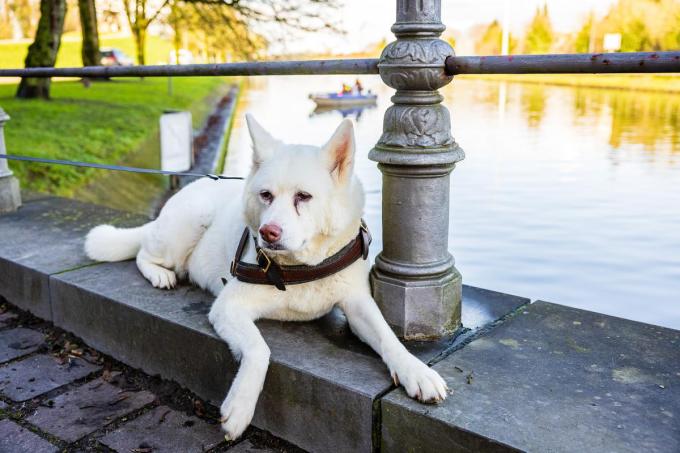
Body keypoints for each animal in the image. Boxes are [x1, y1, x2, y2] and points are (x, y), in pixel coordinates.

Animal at [83, 115, 446, 440]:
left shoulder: (357, 306)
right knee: (143, 253)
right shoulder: (228, 306)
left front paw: (417, 371)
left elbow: (388, 337)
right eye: (266, 195)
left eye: (304, 196)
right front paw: (239, 408)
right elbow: (260, 351)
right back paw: (160, 274)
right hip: (185, 227)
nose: (268, 232)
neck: (303, 265)